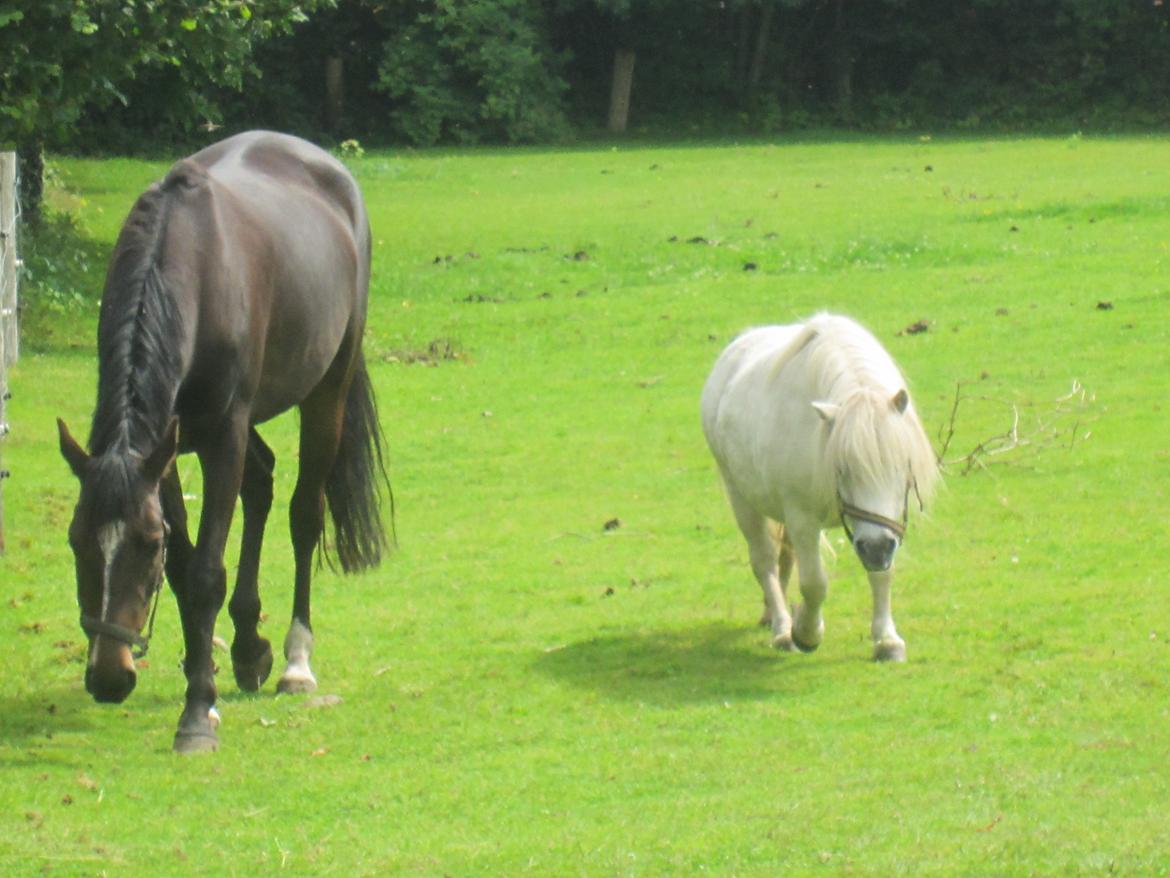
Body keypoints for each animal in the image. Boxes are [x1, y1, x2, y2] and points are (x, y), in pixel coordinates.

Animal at [57, 132, 393, 758]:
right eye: (76, 541)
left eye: (144, 544)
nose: (110, 676)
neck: (189, 266)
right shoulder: (163, 451)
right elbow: (186, 567)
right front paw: (205, 669)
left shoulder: (221, 436)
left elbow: (207, 571)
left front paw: (195, 715)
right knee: (260, 481)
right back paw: (246, 645)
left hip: (325, 392)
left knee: (303, 514)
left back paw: (293, 660)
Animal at [697, 313, 935, 664]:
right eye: (842, 468)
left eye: (900, 464)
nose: (876, 548)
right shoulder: (803, 520)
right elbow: (814, 584)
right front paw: (806, 633)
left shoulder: (884, 527)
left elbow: (882, 575)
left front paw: (886, 640)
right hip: (741, 496)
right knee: (764, 559)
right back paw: (782, 628)